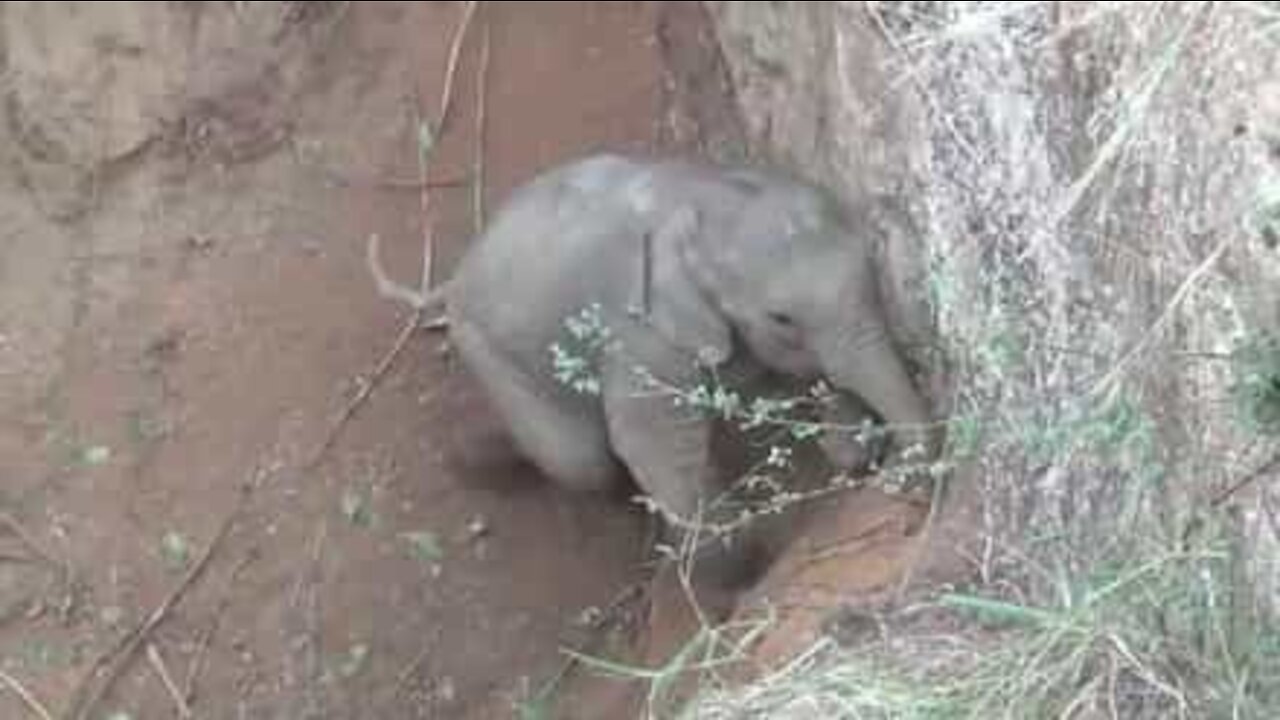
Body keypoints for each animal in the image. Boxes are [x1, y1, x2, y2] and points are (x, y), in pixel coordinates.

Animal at [371, 151, 942, 589]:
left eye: (871, 263)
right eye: (781, 317)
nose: (902, 482)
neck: (695, 199)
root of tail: (449, 281)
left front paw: (847, 448)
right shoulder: (636, 334)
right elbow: (653, 438)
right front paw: (733, 566)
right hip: (486, 350)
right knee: (579, 460)